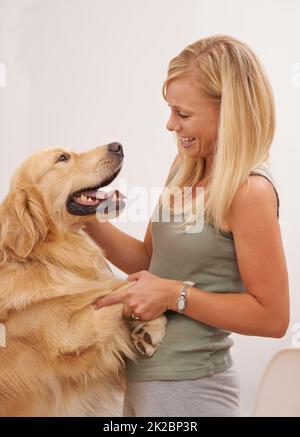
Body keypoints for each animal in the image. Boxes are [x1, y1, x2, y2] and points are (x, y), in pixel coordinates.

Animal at [0, 144, 166, 416]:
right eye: (62, 158)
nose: (117, 145)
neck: (46, 257)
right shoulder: (73, 337)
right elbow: (118, 289)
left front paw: (150, 328)